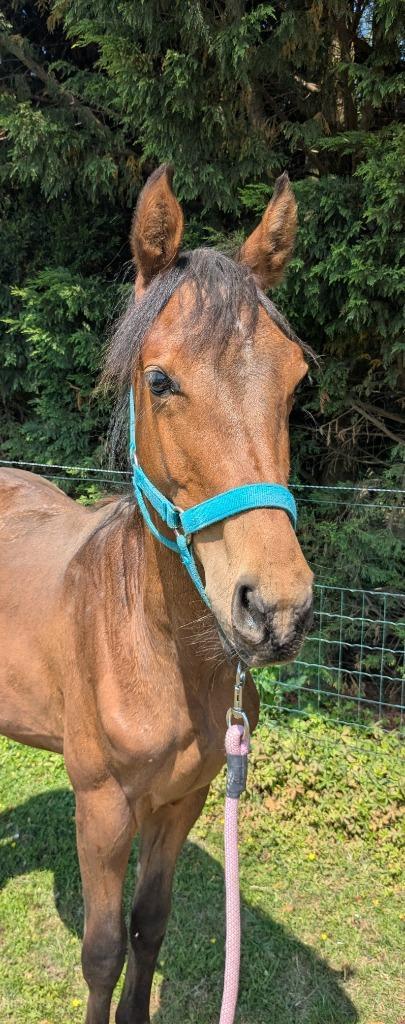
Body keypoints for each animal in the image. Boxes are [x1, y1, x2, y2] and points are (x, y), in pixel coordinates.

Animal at [0, 165, 313, 1024]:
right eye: (160, 380)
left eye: (295, 386)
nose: (275, 609)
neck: (153, 645)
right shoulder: (104, 810)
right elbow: (103, 950)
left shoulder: (185, 801)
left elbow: (150, 925)